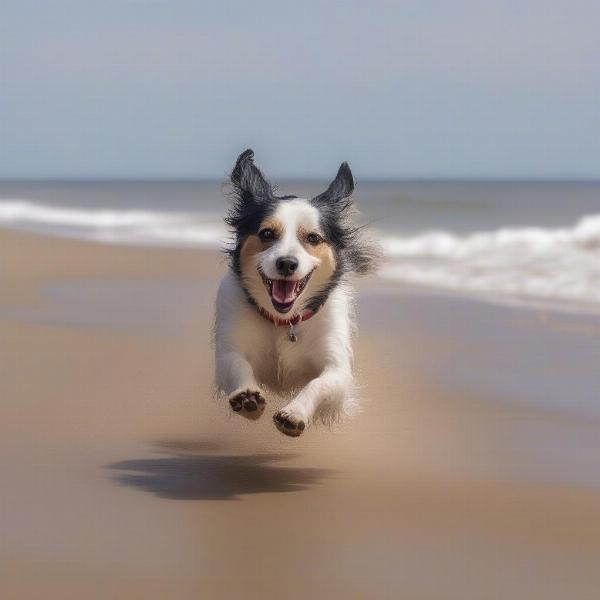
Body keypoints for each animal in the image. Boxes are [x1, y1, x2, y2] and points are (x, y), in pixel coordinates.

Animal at [213, 150, 378, 438]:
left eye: (312, 238)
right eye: (267, 233)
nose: (287, 263)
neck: (284, 322)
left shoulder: (337, 368)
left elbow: (320, 383)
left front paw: (294, 413)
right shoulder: (230, 345)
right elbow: (236, 362)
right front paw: (247, 397)